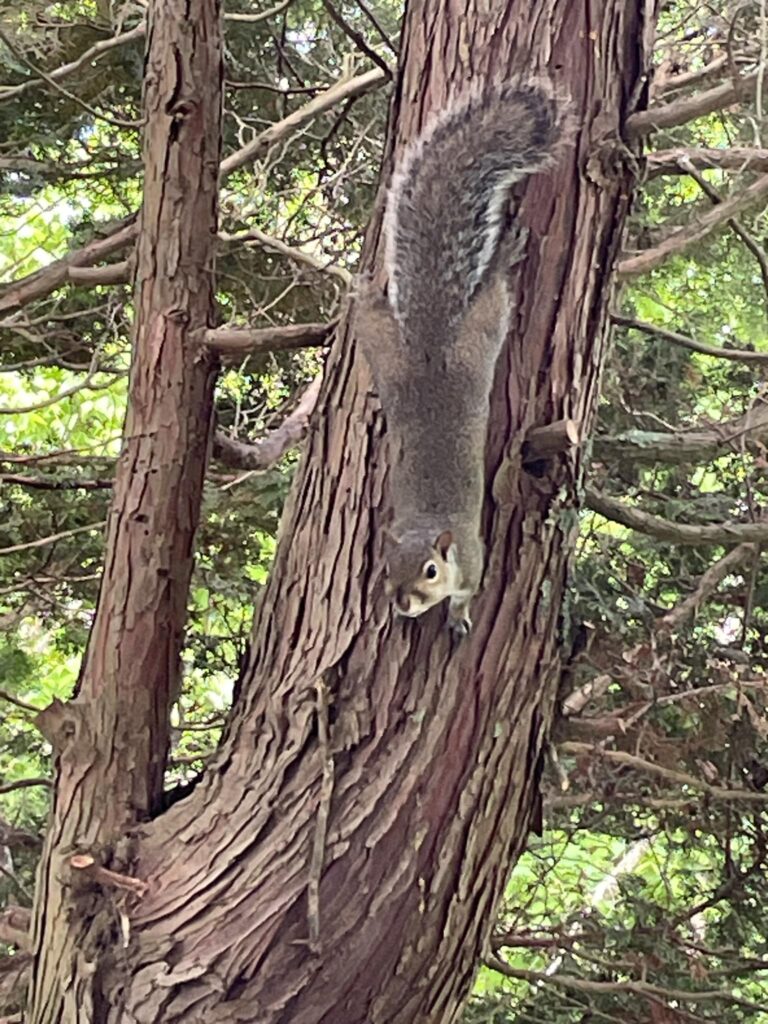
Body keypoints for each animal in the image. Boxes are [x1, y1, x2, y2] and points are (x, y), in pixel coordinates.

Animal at [358, 79, 569, 634]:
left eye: (431, 570)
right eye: (386, 567)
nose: (402, 602)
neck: (429, 525)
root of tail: (431, 344)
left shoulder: (474, 560)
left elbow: (467, 594)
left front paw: (457, 617)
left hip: (482, 333)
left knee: (491, 292)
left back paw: (502, 259)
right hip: (388, 354)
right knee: (373, 320)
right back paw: (363, 294)